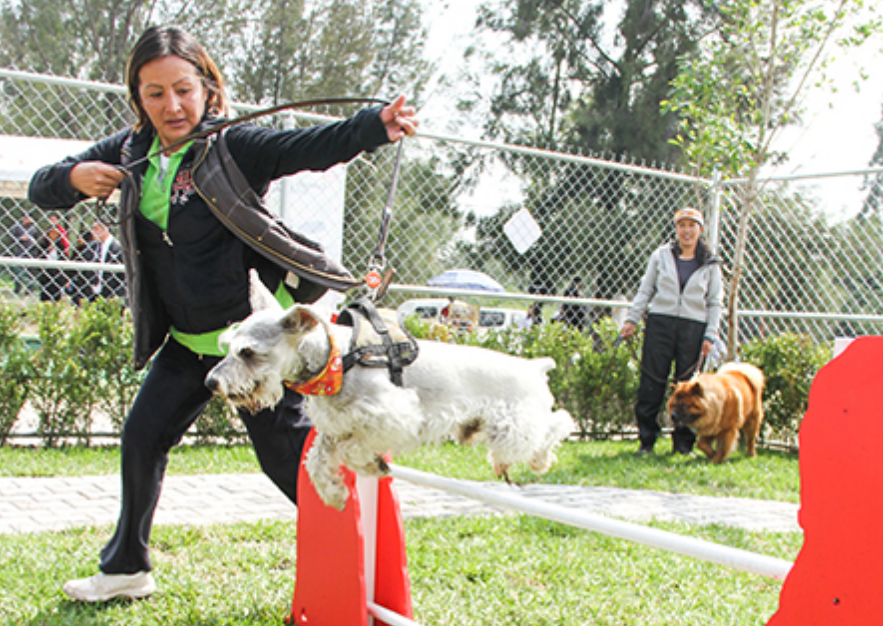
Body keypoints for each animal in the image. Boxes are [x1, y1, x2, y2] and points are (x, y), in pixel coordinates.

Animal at [207, 272, 576, 508]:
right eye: (227, 345)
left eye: (249, 352)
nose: (211, 382)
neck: (336, 359)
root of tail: (535, 365)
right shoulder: (335, 426)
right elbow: (317, 457)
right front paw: (334, 494)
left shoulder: (392, 415)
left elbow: (353, 447)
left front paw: (372, 466)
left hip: (516, 424)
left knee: (557, 425)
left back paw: (539, 460)